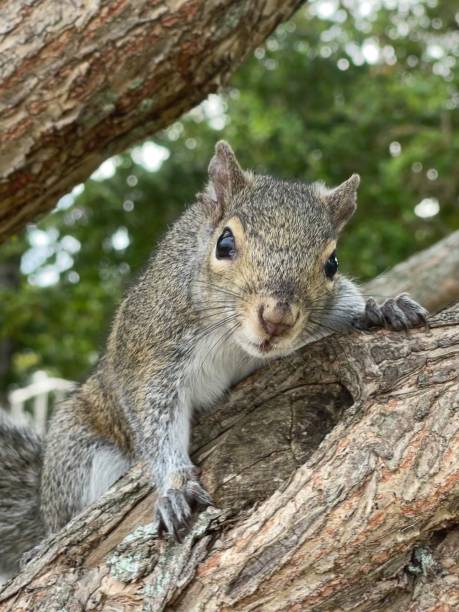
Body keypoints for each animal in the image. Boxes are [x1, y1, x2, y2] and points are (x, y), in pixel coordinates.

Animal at [0, 140, 428, 580]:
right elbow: (156, 418)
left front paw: (382, 308)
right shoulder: (154, 352)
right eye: (225, 244)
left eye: (332, 263)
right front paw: (175, 486)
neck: (235, 342)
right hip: (78, 451)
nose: (277, 318)